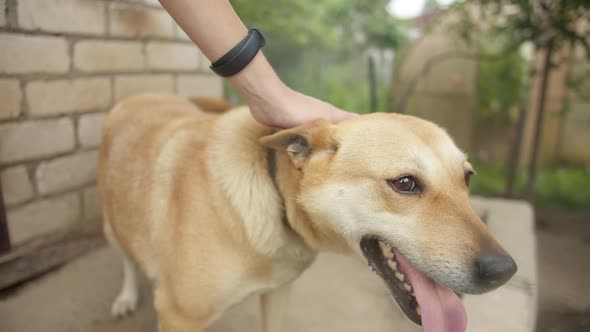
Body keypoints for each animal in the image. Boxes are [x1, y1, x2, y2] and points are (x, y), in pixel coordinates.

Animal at [100, 93, 520, 332]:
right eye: (404, 183)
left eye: (467, 178)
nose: (504, 271)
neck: (276, 203)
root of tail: (140, 93)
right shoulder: (178, 315)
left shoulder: (278, 293)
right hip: (112, 223)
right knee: (126, 258)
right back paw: (125, 296)